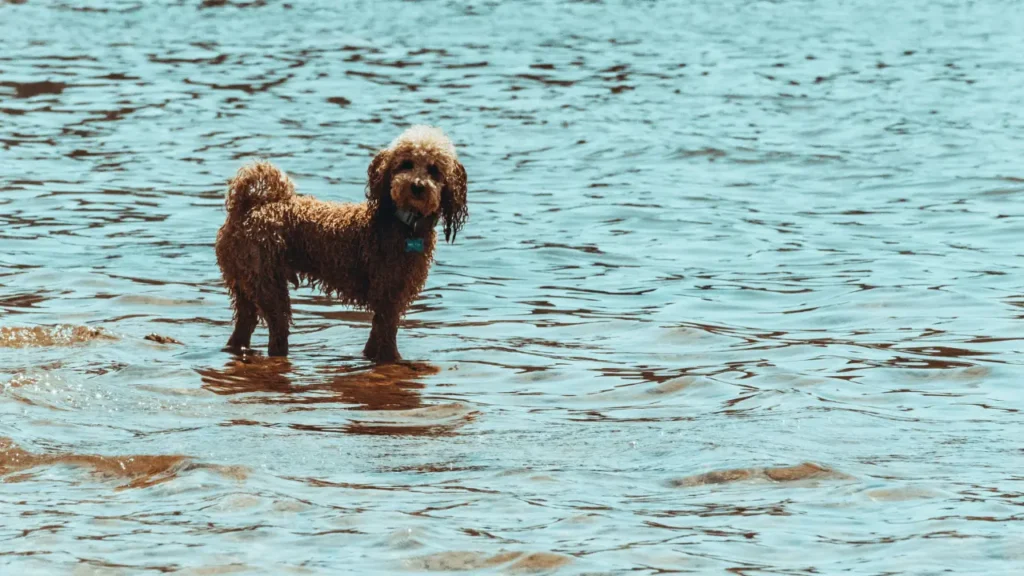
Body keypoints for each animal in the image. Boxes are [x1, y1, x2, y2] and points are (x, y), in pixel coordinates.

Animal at [218, 126, 468, 358]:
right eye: (406, 164)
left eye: (434, 170)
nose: (417, 186)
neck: (404, 223)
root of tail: (247, 208)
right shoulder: (388, 297)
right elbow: (387, 340)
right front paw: (394, 360)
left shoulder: (390, 302)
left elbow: (376, 338)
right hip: (268, 285)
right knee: (277, 332)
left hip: (244, 285)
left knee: (243, 327)